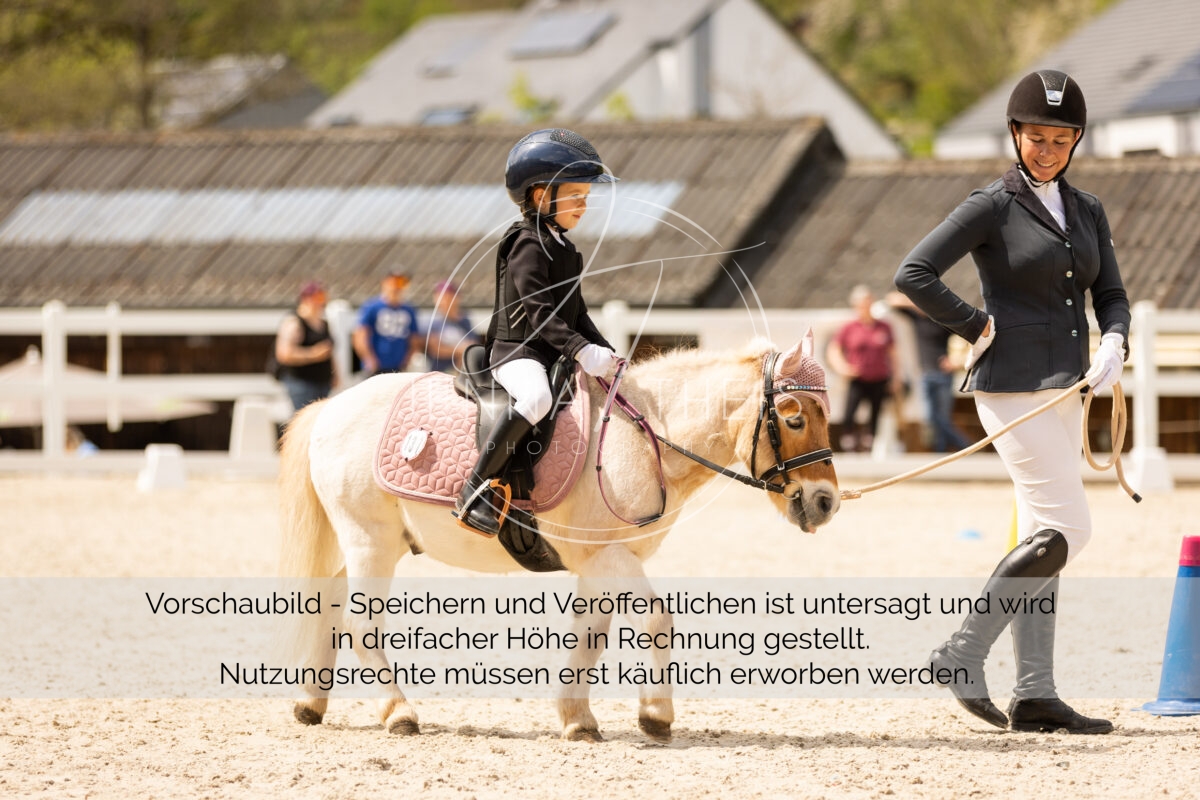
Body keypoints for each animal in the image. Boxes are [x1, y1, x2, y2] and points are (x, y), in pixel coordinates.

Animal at [277, 335, 840, 742]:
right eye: (793, 418)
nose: (826, 502)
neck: (646, 438)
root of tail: (330, 406)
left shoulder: (600, 564)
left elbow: (590, 635)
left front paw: (577, 719)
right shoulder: (607, 556)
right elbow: (658, 620)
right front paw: (656, 714)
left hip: (369, 544)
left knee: (329, 607)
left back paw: (310, 702)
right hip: (370, 542)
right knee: (359, 621)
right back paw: (398, 712)